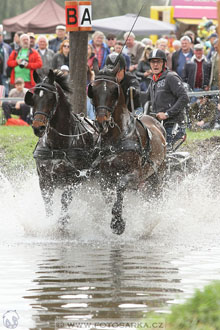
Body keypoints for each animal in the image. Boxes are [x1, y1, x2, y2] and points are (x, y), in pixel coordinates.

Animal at [24, 70, 98, 227]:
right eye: (33, 98)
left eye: (51, 98)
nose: (38, 128)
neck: (56, 146)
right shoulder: (44, 180)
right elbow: (48, 204)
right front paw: (50, 221)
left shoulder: (73, 180)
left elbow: (65, 201)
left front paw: (63, 222)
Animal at [87, 64, 167, 235]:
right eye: (93, 90)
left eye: (113, 91)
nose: (101, 122)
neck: (116, 137)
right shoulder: (104, 177)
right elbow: (109, 197)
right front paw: (115, 216)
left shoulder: (135, 175)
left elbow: (121, 186)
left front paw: (117, 223)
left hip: (157, 174)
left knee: (155, 195)